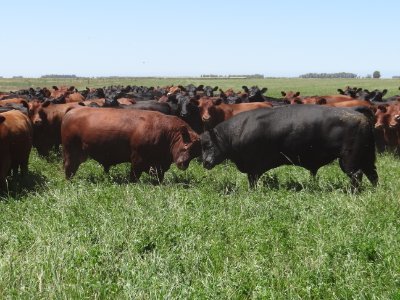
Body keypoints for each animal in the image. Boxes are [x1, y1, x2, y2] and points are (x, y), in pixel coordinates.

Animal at [61, 108, 202, 183]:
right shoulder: (137, 159)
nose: (183, 163)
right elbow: (134, 176)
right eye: (186, 145)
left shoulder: (159, 165)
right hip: (71, 153)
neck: (166, 132)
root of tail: (71, 111)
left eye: (195, 154)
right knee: (69, 168)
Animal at [200, 105, 378, 190]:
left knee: (357, 175)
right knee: (373, 175)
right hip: (366, 158)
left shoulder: (253, 168)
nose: (205, 163)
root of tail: (356, 112)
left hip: (348, 160)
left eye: (208, 144)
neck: (237, 131)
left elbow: (252, 181)